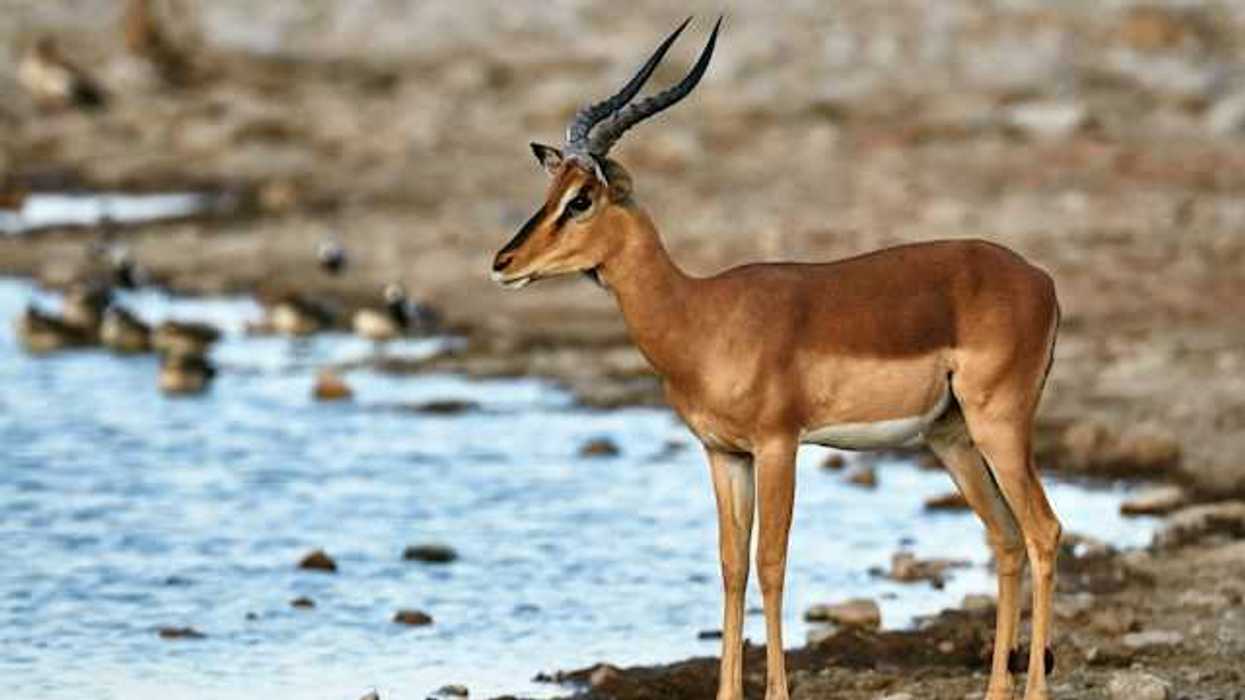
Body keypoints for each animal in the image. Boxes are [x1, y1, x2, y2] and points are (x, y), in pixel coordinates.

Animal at [490, 19, 1064, 700]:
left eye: (580, 200)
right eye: (551, 189)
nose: (503, 262)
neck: (700, 316)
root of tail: (1039, 279)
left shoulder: (778, 446)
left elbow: (771, 561)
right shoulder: (723, 454)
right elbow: (732, 564)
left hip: (999, 424)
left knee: (1043, 531)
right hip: (951, 437)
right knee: (1005, 538)